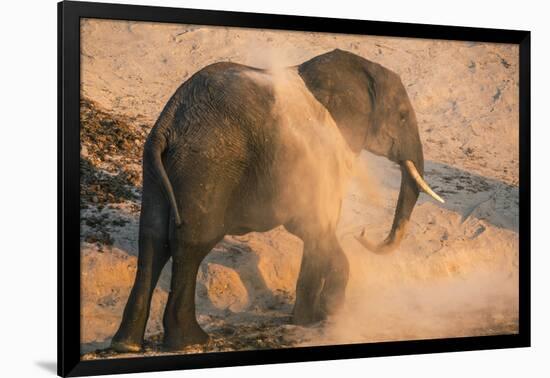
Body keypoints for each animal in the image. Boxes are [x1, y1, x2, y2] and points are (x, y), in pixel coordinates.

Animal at [111, 48, 444, 352]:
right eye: (402, 116)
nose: (362, 234)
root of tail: (168, 123)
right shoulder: (321, 155)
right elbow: (315, 227)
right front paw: (327, 315)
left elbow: (313, 231)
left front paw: (306, 320)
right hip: (208, 163)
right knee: (191, 243)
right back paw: (191, 340)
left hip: (159, 168)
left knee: (152, 239)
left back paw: (127, 345)